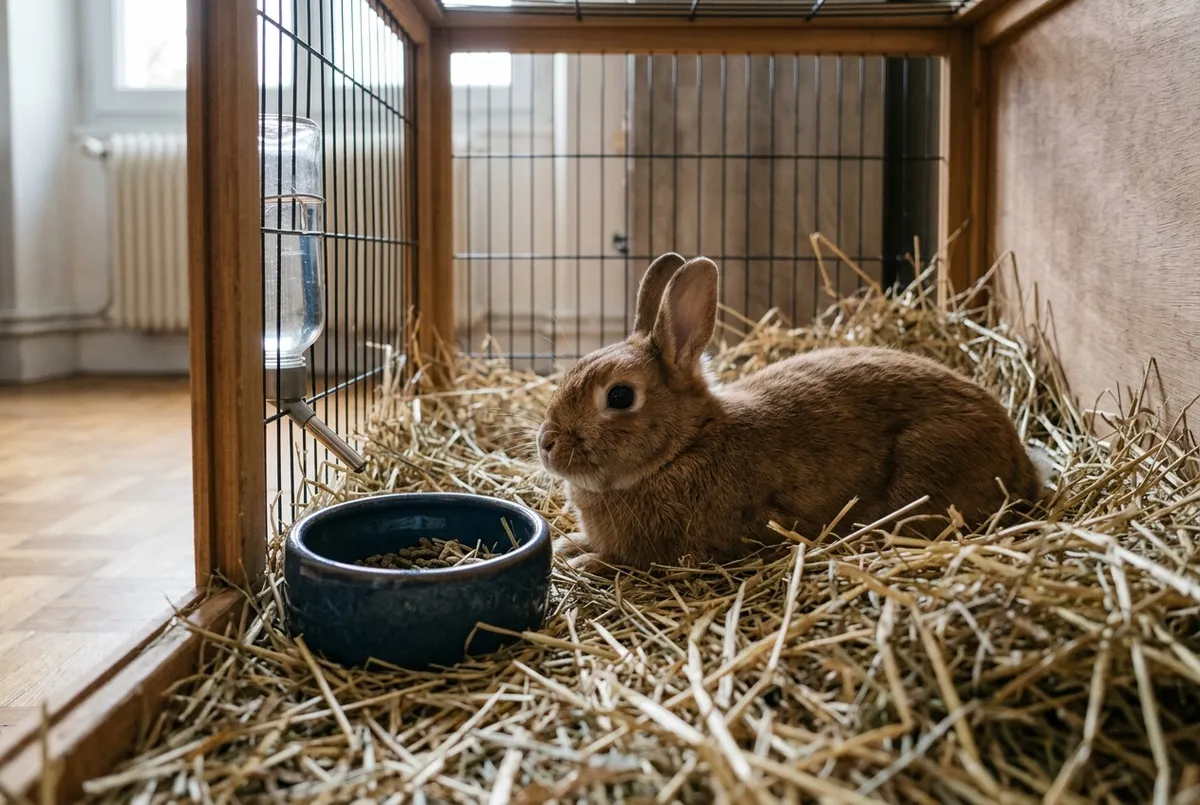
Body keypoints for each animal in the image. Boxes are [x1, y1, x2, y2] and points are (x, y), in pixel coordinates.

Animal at [536, 252, 1050, 574]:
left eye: (620, 396)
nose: (546, 445)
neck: (685, 447)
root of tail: (1020, 465)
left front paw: (583, 561)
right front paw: (567, 545)